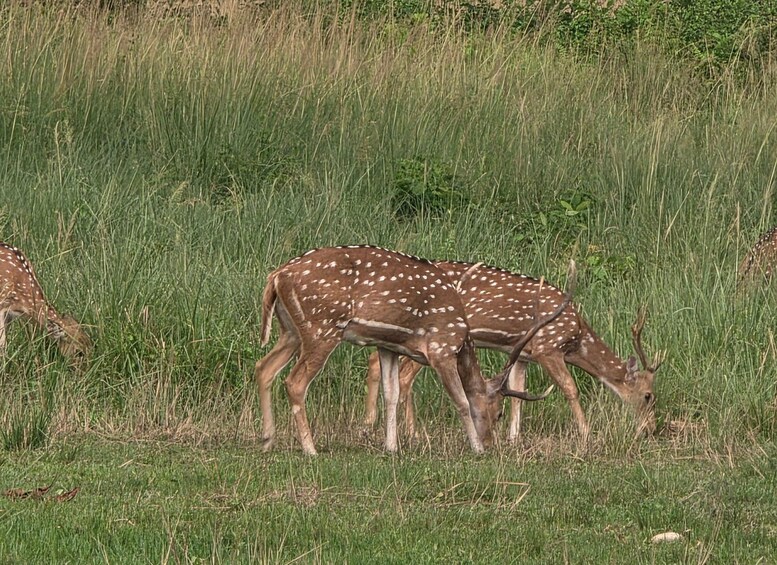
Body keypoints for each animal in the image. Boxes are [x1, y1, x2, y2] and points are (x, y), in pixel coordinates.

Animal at [255, 246, 575, 455]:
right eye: (497, 413)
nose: (490, 443)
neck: (461, 333)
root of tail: (276, 276)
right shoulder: (441, 347)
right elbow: (460, 399)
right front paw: (475, 448)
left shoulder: (387, 345)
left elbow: (391, 394)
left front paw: (391, 447)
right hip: (322, 327)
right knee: (294, 382)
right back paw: (310, 449)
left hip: (290, 330)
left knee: (264, 367)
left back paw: (268, 439)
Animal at [364, 261, 663, 443]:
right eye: (648, 396)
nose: (650, 430)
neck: (576, 339)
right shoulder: (547, 346)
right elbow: (570, 388)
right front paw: (585, 433)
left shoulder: (524, 355)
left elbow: (519, 392)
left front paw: (513, 437)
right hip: (434, 338)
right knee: (404, 376)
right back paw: (412, 434)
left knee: (377, 360)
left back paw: (369, 423)